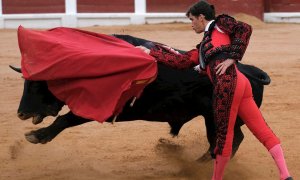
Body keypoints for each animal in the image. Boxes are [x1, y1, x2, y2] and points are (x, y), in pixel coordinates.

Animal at [10, 34, 270, 160]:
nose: (21, 113)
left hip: (220, 117)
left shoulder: (101, 107)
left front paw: (37, 136)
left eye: (38, 84)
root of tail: (251, 71)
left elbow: (66, 118)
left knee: (230, 140)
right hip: (212, 119)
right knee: (225, 140)